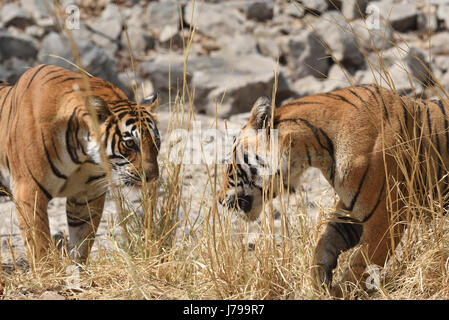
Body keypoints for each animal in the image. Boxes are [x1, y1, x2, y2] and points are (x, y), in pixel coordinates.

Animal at [0, 63, 160, 264]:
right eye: (130, 143)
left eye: (156, 142)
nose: (152, 176)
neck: (83, 156)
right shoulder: (29, 191)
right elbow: (40, 245)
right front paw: (49, 272)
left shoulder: (88, 195)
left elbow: (83, 241)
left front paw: (77, 268)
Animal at [219, 85, 448, 298]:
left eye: (230, 164)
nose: (220, 200)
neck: (315, 149)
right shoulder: (352, 209)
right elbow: (325, 242)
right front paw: (319, 279)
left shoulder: (386, 217)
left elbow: (362, 263)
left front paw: (341, 291)